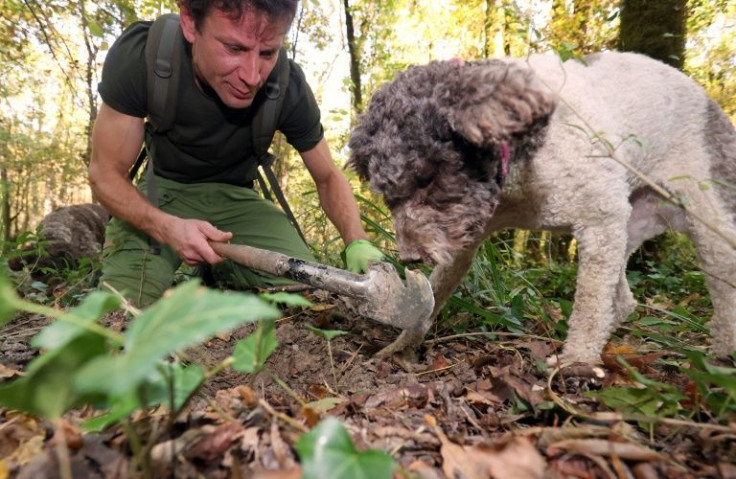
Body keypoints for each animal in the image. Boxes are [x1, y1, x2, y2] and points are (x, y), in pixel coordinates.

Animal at [350, 50, 736, 364]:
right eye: (387, 195)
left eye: (428, 177)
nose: (409, 257)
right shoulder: (464, 237)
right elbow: (434, 292)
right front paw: (399, 345)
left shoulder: (602, 217)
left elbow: (590, 305)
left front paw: (577, 361)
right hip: (631, 226)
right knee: (625, 299)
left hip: (707, 215)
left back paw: (720, 354)